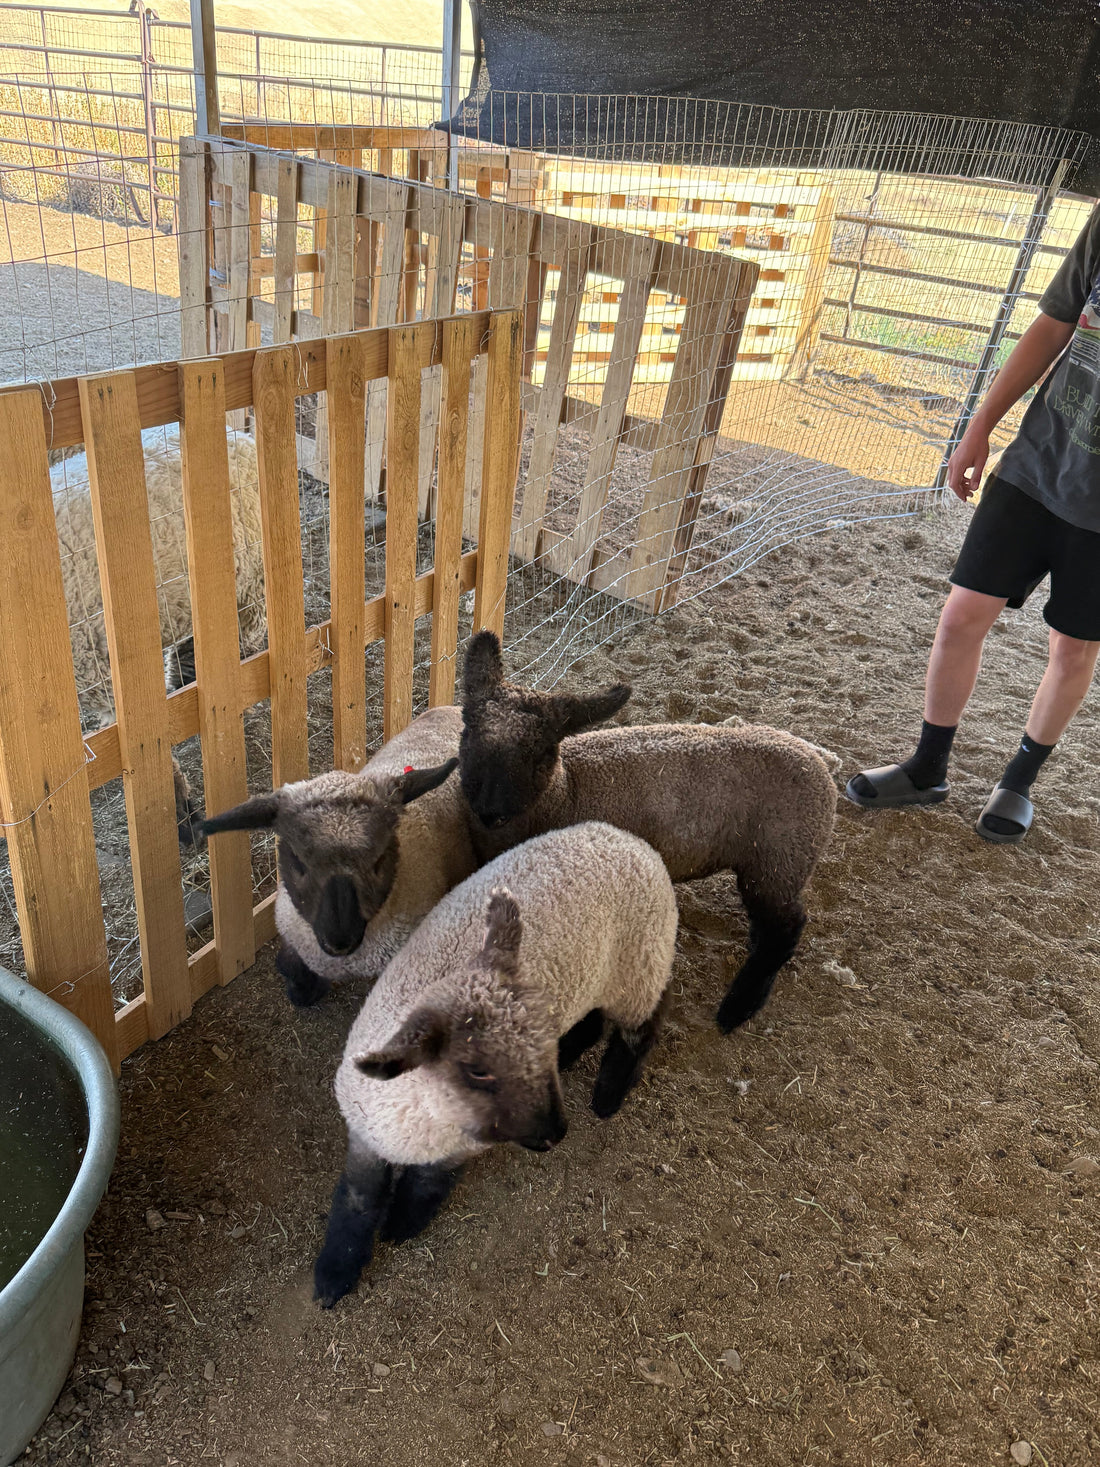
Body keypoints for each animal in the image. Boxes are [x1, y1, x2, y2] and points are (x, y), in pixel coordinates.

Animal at [312, 820, 678, 1307]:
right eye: (477, 1069)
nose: (556, 1133)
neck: (422, 1123)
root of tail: (627, 838)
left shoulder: (457, 1149)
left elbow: (428, 1184)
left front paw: (403, 1223)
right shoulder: (366, 1135)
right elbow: (356, 1200)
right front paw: (334, 1275)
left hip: (640, 967)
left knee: (642, 1027)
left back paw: (608, 1095)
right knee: (598, 1018)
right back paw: (577, 1050)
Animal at [458, 631, 837, 1033]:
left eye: (542, 752)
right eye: (468, 729)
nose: (490, 812)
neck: (568, 791)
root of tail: (820, 765)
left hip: (779, 858)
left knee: (784, 929)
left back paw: (737, 1008)